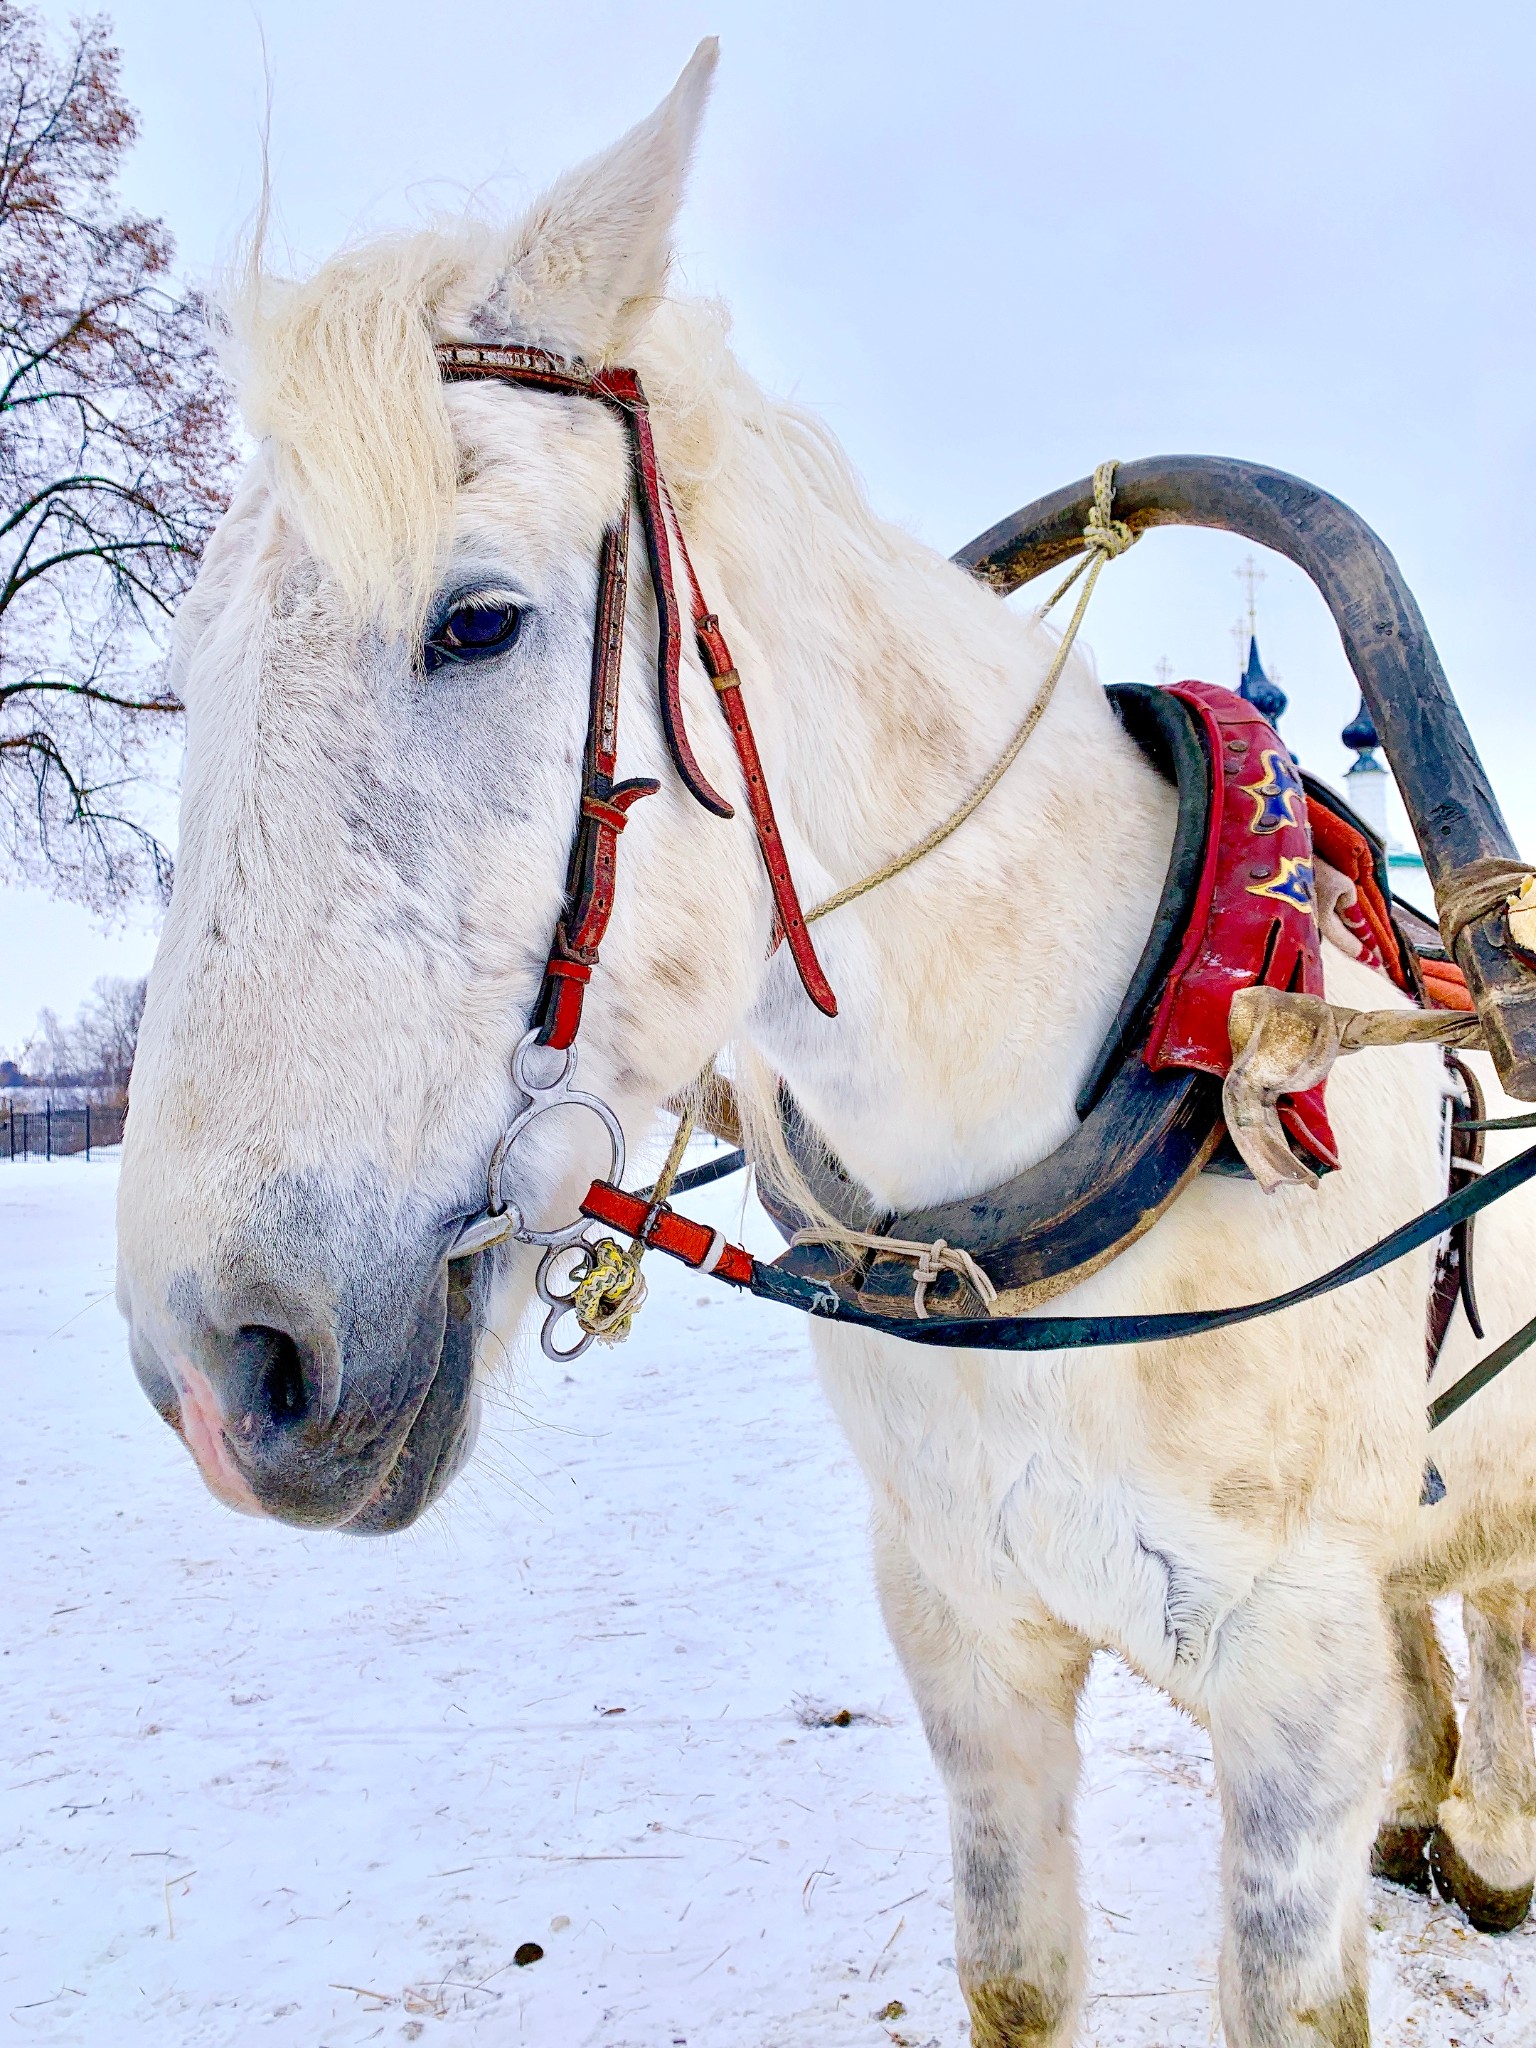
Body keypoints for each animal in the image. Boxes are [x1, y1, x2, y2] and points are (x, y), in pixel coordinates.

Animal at [114, 48, 1536, 2048]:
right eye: (191, 673)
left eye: (478, 620)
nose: (216, 1369)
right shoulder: (966, 1640)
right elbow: (1015, 1971)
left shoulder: (1289, 1690)